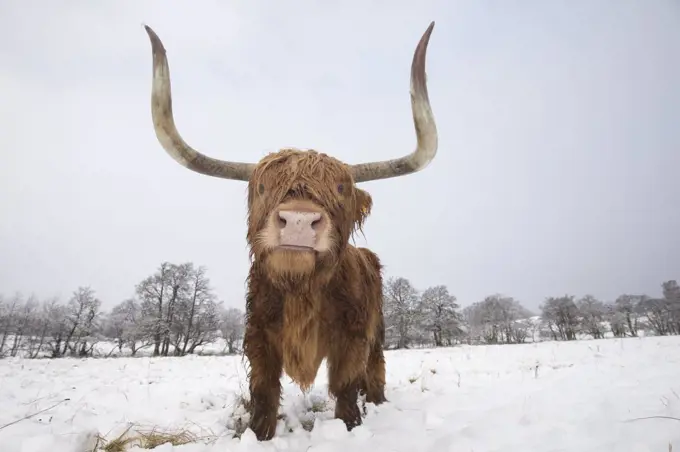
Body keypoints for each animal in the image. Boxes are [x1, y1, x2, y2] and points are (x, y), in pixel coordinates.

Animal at [143, 22, 440, 442]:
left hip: (378, 330)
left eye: (341, 188)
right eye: (263, 187)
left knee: (376, 368)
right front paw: (260, 435)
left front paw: (350, 426)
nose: (299, 221)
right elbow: (264, 392)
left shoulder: (353, 337)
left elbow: (346, 386)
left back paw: (378, 403)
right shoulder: (258, 338)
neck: (303, 292)